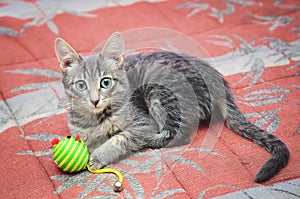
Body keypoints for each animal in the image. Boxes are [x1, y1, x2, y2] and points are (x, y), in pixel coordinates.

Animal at [55, 31, 290, 183]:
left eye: (105, 82)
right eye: (81, 85)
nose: (95, 100)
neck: (96, 118)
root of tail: (218, 80)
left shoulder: (142, 122)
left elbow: (121, 137)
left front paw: (99, 155)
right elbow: (84, 138)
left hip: (160, 93)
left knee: (177, 134)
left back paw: (148, 142)